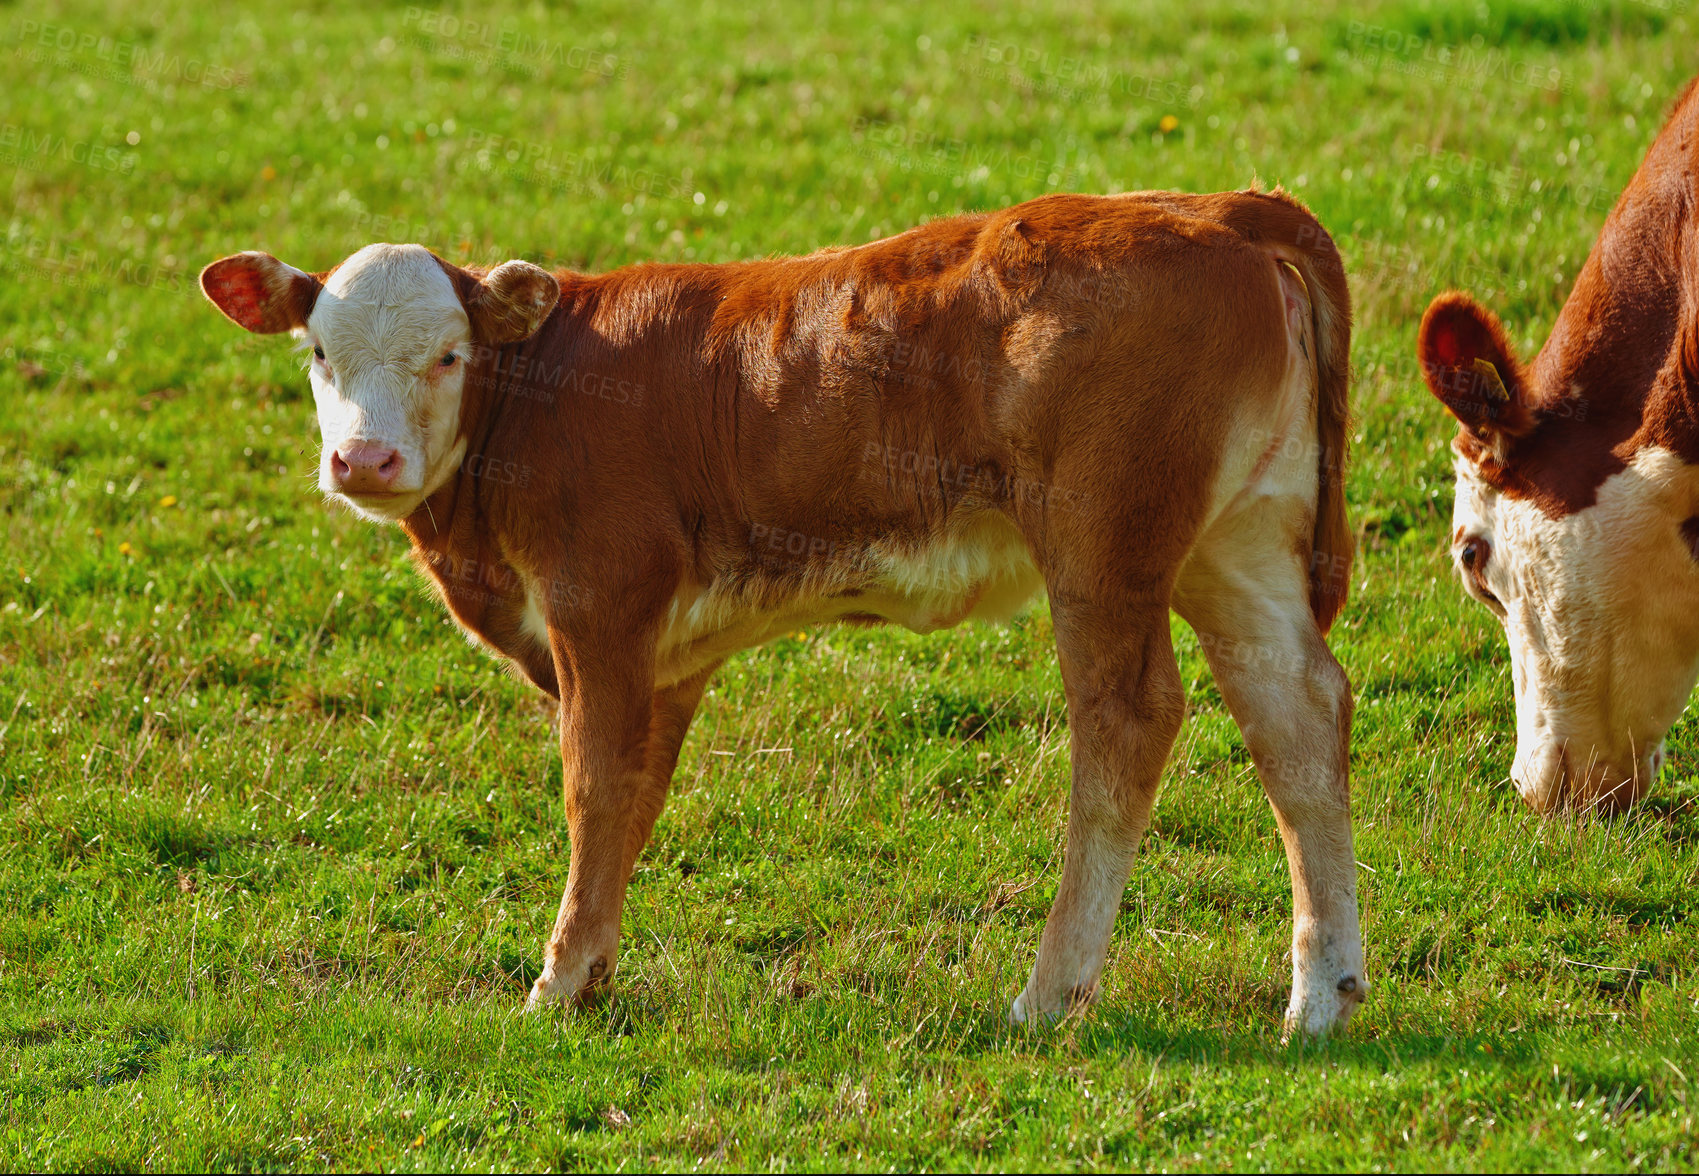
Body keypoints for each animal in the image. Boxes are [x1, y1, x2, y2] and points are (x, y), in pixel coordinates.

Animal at [200, 188, 1366, 1036]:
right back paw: (1320, 997)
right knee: (1297, 715)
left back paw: (1049, 995)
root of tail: (1213, 208)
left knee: (1128, 723)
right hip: (1237, 543)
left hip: (1101, 546)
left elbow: (593, 787)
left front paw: (557, 983)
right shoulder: (664, 656)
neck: (535, 396)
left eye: (447, 354)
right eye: (319, 353)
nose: (363, 461)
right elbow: (634, 798)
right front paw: (595, 971)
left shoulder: (597, 609)